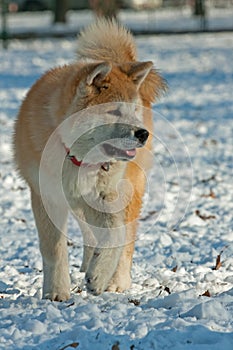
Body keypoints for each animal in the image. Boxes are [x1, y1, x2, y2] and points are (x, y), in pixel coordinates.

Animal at [13, 18, 166, 300]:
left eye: (133, 110)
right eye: (114, 110)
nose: (142, 134)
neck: (75, 156)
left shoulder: (106, 196)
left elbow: (116, 235)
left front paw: (99, 276)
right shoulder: (47, 196)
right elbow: (54, 248)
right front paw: (57, 291)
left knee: (125, 237)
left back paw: (116, 280)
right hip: (77, 205)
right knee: (90, 235)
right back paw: (87, 264)